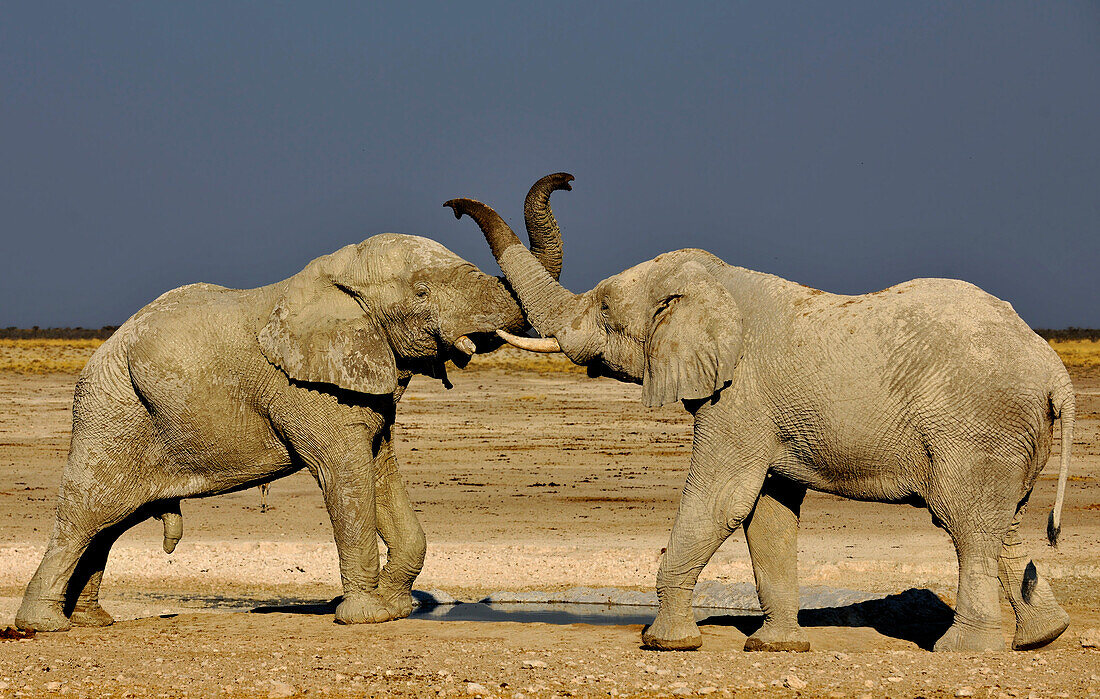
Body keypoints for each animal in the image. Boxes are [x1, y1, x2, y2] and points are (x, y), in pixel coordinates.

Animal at [17, 182, 567, 629]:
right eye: (422, 291)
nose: (453, 206)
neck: (336, 275)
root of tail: (98, 357)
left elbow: (380, 467)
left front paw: (395, 610)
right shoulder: (301, 388)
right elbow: (344, 470)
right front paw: (366, 618)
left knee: (111, 524)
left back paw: (92, 621)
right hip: (111, 409)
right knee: (87, 512)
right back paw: (44, 626)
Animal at [444, 172, 1073, 651]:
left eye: (603, 312)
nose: (452, 206)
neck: (715, 280)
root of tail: (1056, 372)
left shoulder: (739, 395)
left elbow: (722, 499)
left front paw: (666, 644)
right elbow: (767, 512)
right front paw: (776, 648)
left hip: (976, 424)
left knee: (967, 524)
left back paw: (964, 650)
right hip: (1008, 432)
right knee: (1004, 523)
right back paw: (1042, 638)